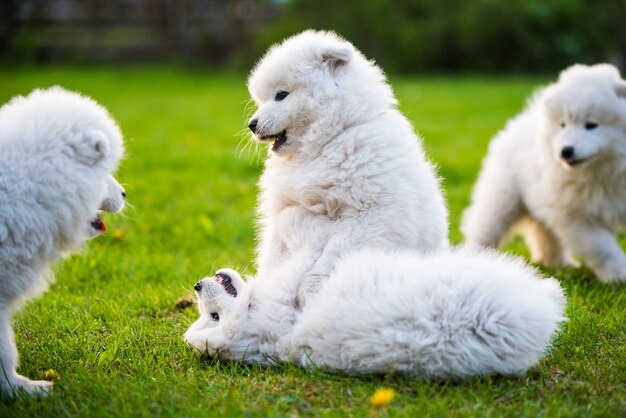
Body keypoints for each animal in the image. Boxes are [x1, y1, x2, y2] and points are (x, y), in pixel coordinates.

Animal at [458, 63, 624, 282]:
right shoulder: (577, 216)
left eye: (591, 125)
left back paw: (558, 264)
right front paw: (618, 275)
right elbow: (604, 248)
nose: (566, 151)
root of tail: (523, 119)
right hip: (503, 199)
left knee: (546, 234)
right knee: (485, 228)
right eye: (562, 125)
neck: (604, 173)